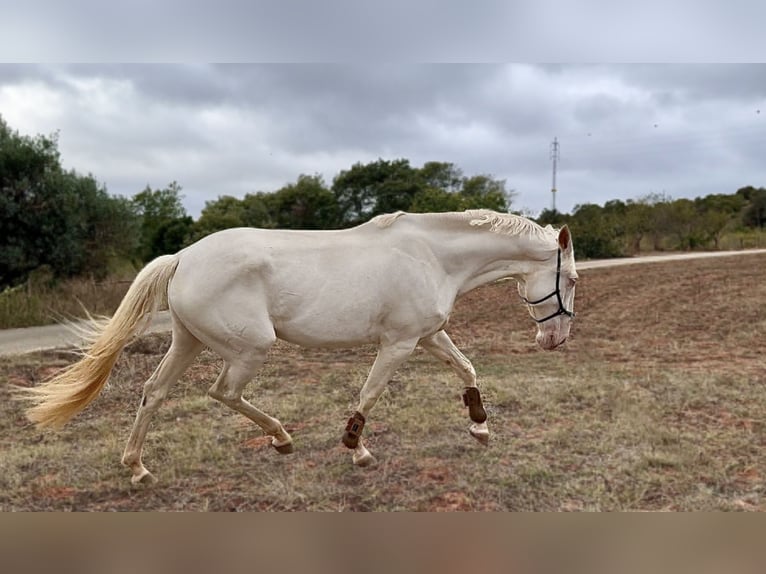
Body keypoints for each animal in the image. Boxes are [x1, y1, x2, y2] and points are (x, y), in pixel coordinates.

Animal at [21, 209, 580, 484]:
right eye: (572, 279)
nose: (554, 340)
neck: (431, 255)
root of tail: (182, 258)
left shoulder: (427, 334)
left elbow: (467, 370)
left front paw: (480, 427)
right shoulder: (399, 343)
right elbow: (370, 394)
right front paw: (357, 450)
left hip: (188, 342)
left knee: (153, 393)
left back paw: (137, 468)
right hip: (249, 349)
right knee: (222, 393)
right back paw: (281, 438)